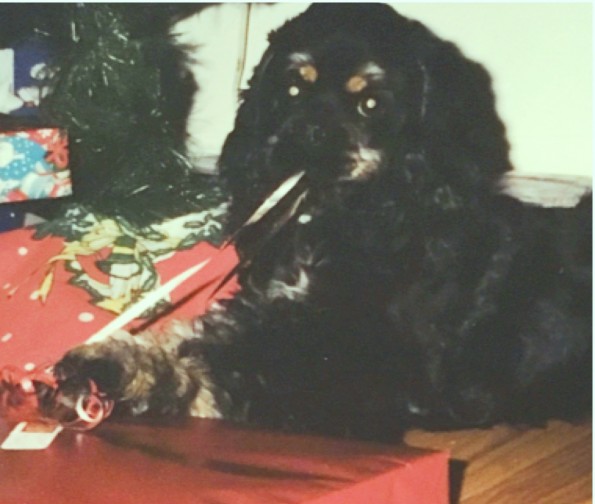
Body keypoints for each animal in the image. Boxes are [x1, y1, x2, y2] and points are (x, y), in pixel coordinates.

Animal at [54, 5, 592, 442]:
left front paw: (117, 369)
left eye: (370, 103)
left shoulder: (370, 371)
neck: (337, 217)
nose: (306, 133)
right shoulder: (269, 307)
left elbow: (226, 368)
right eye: (293, 87)